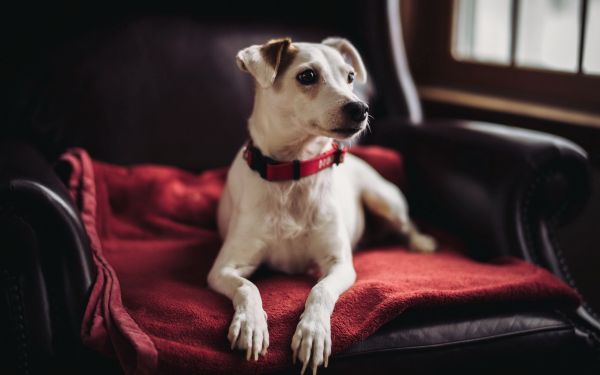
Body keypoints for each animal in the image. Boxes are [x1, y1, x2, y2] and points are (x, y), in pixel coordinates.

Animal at [206, 37, 436, 375]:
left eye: (351, 76)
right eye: (307, 76)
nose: (360, 108)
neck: (293, 173)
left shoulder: (339, 265)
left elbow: (321, 291)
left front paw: (312, 333)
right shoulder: (223, 269)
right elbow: (248, 288)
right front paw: (251, 324)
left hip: (384, 199)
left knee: (406, 224)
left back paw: (421, 242)